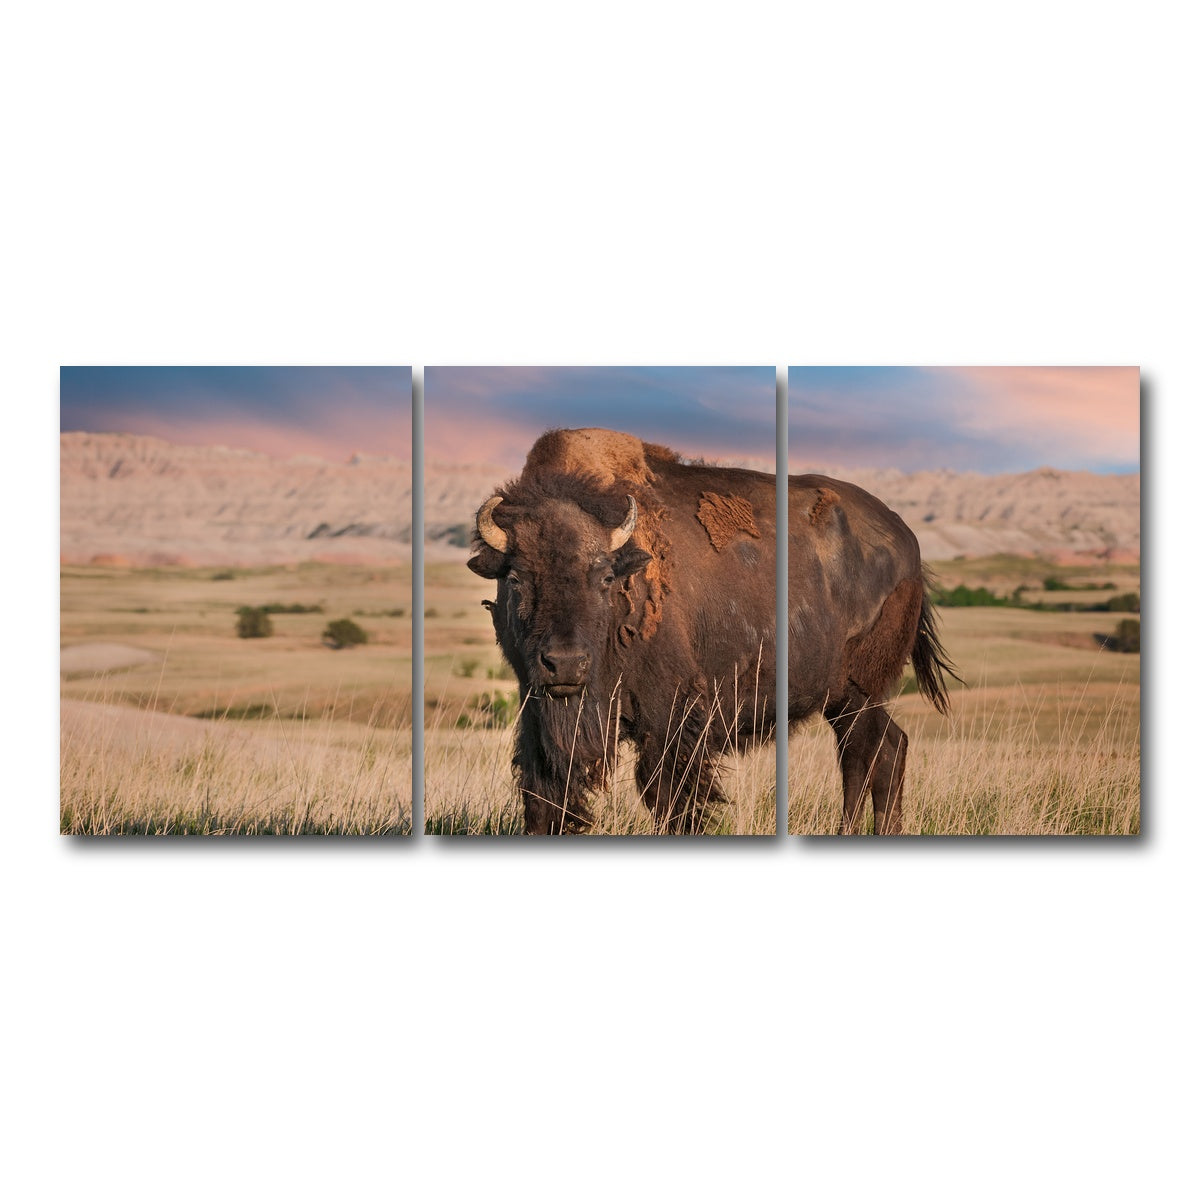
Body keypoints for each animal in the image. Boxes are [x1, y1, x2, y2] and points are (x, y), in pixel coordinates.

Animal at [467, 427, 957, 834]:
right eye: (516, 578)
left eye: (605, 577)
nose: (565, 664)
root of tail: (909, 545)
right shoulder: (536, 712)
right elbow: (543, 796)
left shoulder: (670, 715)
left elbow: (671, 797)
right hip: (848, 700)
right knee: (888, 749)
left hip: (859, 694)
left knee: (864, 755)